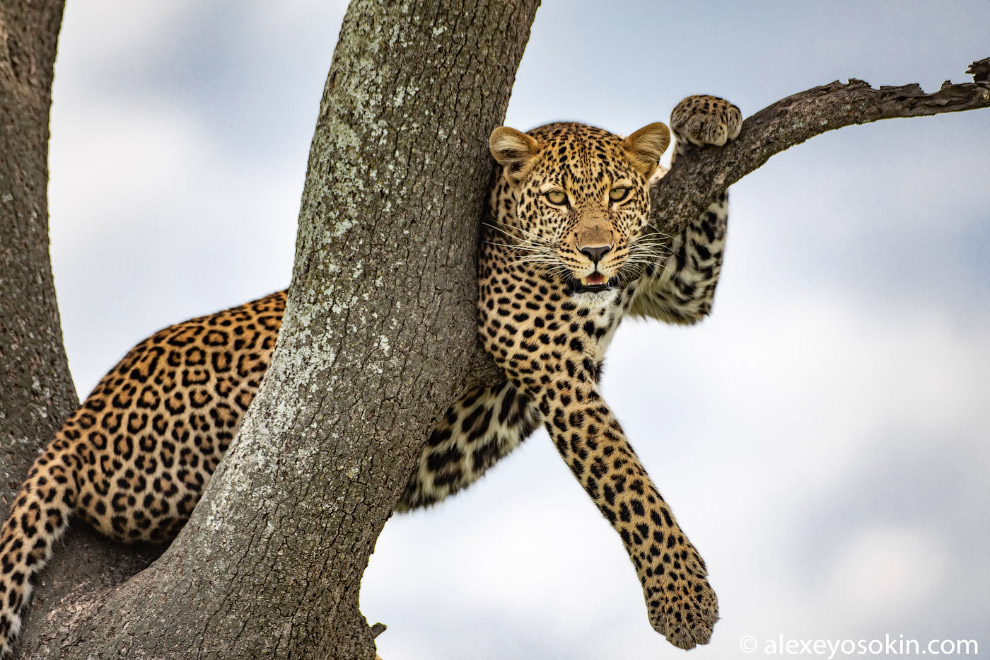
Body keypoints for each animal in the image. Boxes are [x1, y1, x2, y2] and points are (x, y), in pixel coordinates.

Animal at [0, 93, 744, 656]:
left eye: (618, 194)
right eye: (558, 199)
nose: (595, 250)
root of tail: (76, 424)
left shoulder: (672, 289)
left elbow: (697, 253)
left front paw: (705, 116)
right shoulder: (549, 363)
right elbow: (629, 485)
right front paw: (683, 600)